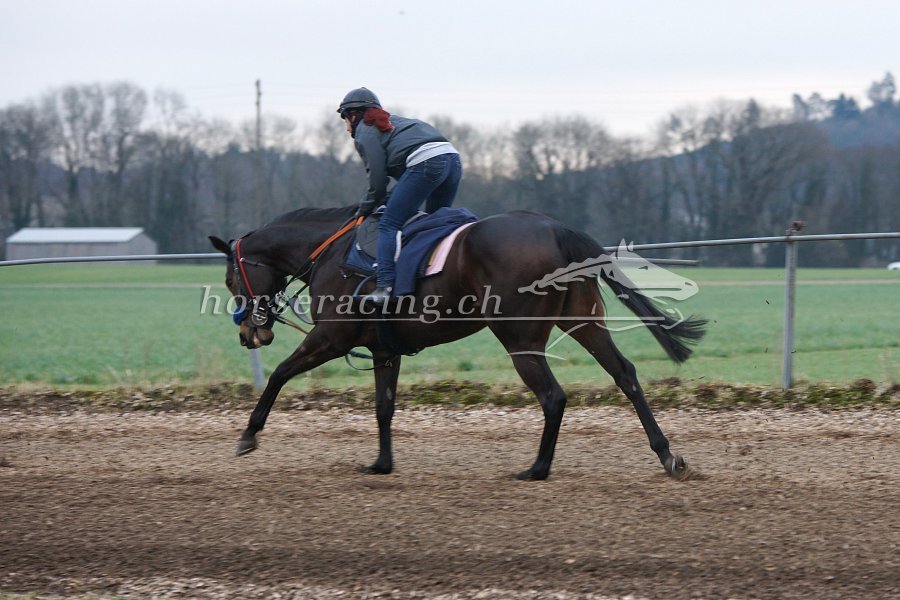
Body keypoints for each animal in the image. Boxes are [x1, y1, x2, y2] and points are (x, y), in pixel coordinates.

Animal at [208, 205, 707, 480]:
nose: (249, 333)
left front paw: (248, 436)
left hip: (519, 337)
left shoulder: (330, 337)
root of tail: (556, 229)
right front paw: (382, 463)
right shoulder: (383, 350)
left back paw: (537, 469)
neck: (331, 254)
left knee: (553, 396)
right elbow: (383, 406)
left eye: (231, 277)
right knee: (625, 375)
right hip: (584, 322)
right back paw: (667, 455)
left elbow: (279, 374)